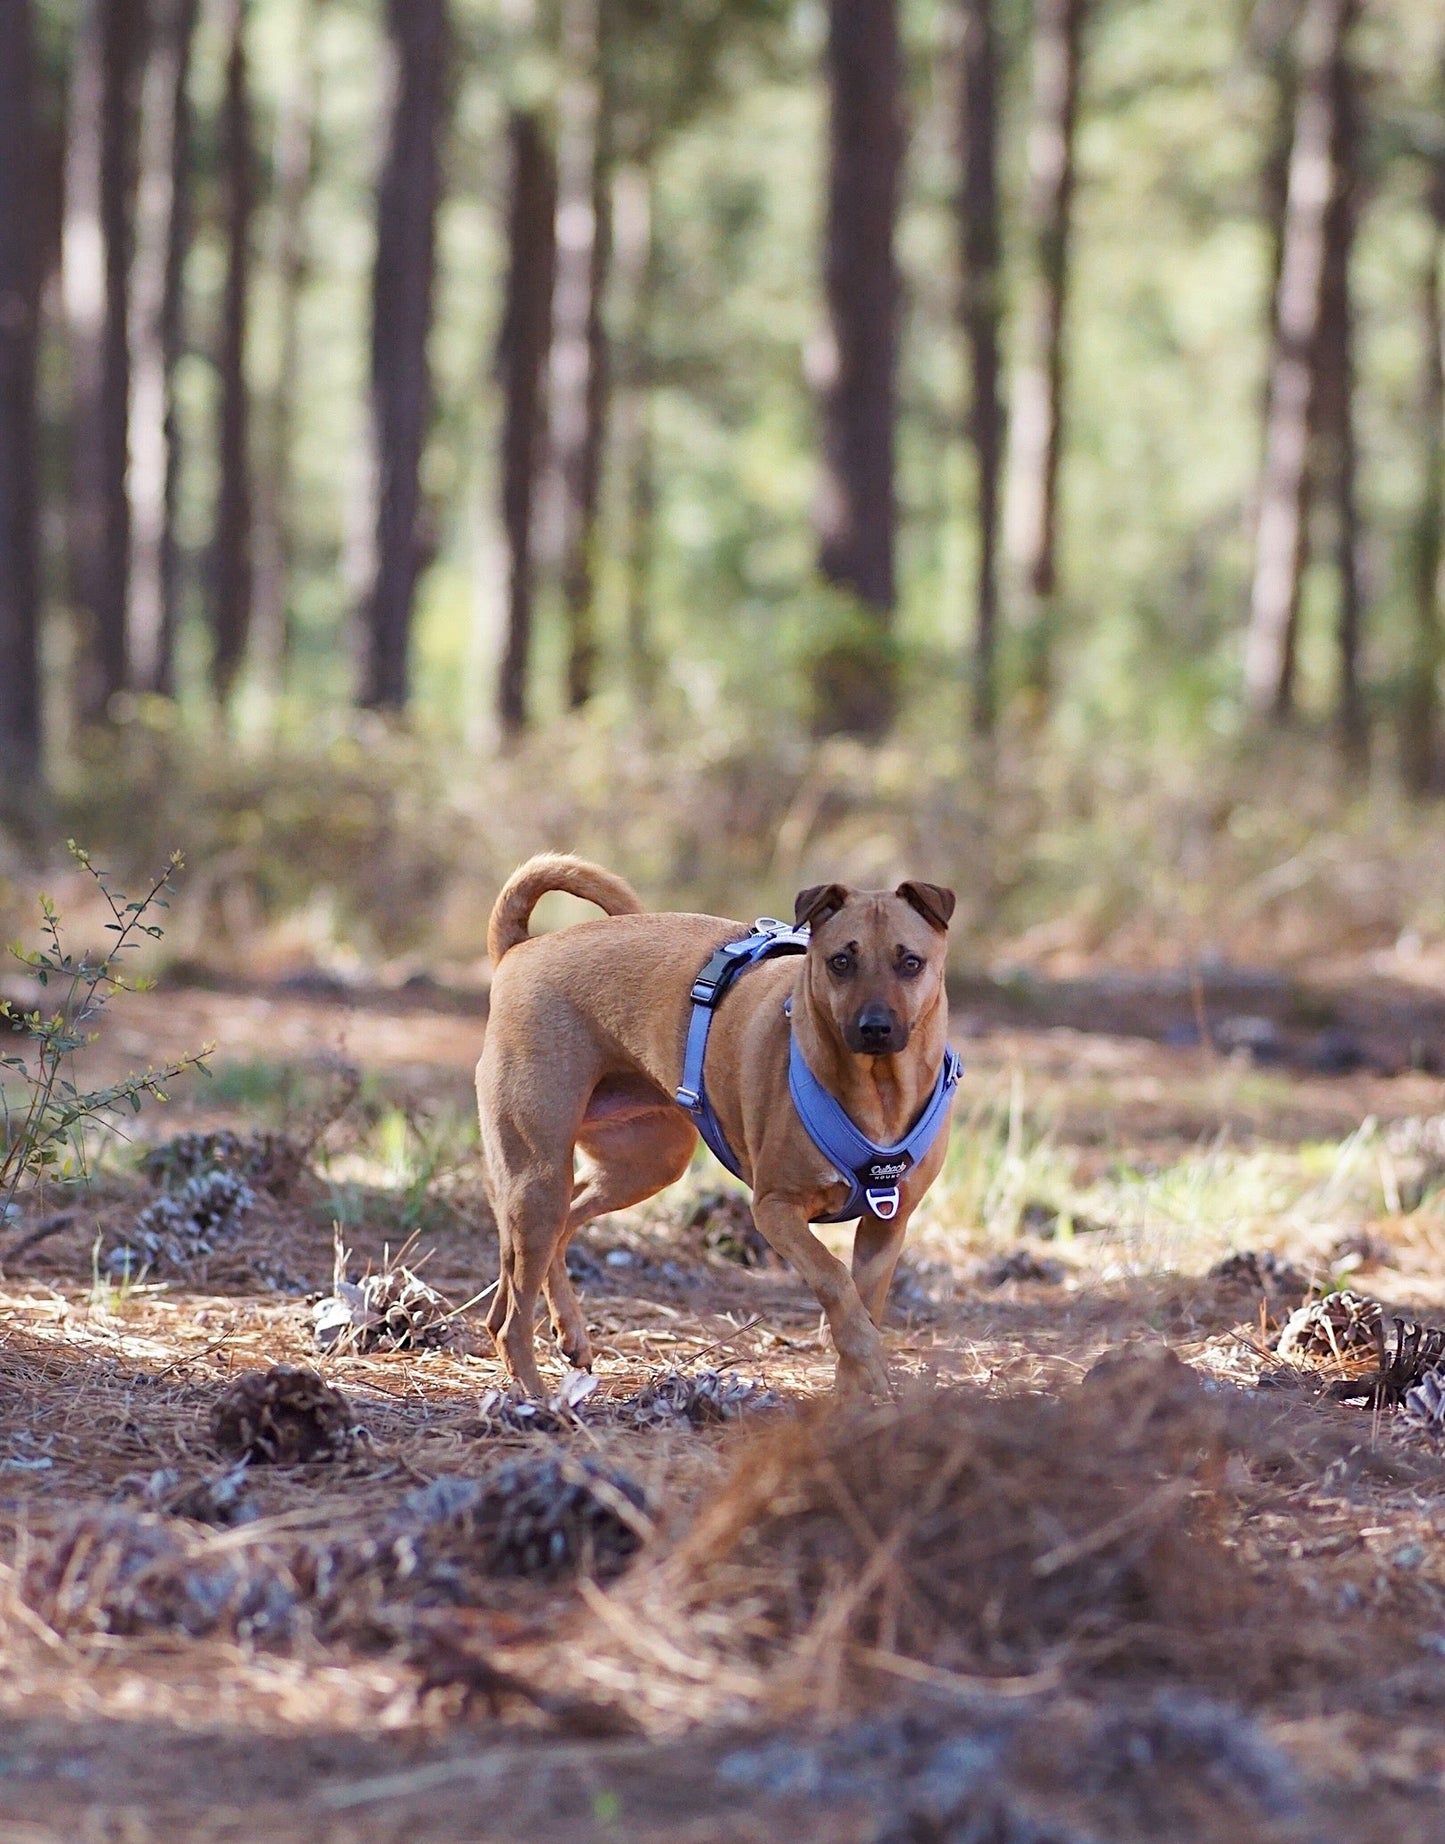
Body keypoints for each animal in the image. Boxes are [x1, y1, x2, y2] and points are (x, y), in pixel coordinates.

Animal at [475, 855, 965, 1386]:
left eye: (910, 962)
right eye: (840, 961)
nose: (874, 1028)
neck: (879, 1092)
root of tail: (520, 949)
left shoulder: (886, 1227)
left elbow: (864, 1305)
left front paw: (857, 1387)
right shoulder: (775, 1209)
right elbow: (835, 1279)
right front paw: (867, 1357)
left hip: (642, 1164)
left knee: (540, 1257)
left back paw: (570, 1334)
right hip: (538, 1179)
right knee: (513, 1320)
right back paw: (537, 1394)